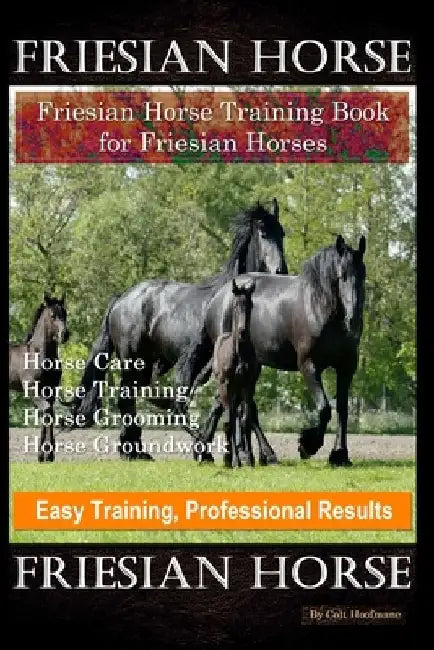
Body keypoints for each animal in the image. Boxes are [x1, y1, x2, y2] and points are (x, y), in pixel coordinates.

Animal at [9, 292, 69, 462]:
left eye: (65, 314)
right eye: (52, 315)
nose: (65, 335)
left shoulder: (51, 390)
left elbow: (48, 414)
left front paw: (46, 455)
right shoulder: (32, 389)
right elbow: (47, 412)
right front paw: (46, 454)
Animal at [65, 200, 287, 461]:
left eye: (282, 233)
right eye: (263, 233)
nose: (281, 271)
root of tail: (122, 298)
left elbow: (240, 406)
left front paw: (231, 450)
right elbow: (233, 406)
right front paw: (212, 449)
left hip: (148, 365)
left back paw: (136, 449)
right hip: (133, 361)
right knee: (126, 398)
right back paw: (134, 450)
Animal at [180, 235, 366, 466]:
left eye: (363, 275)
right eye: (342, 276)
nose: (354, 320)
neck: (319, 308)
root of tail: (219, 297)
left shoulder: (346, 366)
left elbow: (342, 409)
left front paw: (340, 454)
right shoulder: (309, 365)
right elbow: (324, 408)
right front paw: (307, 445)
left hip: (250, 369)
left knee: (232, 406)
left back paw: (216, 451)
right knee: (236, 408)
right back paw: (246, 454)